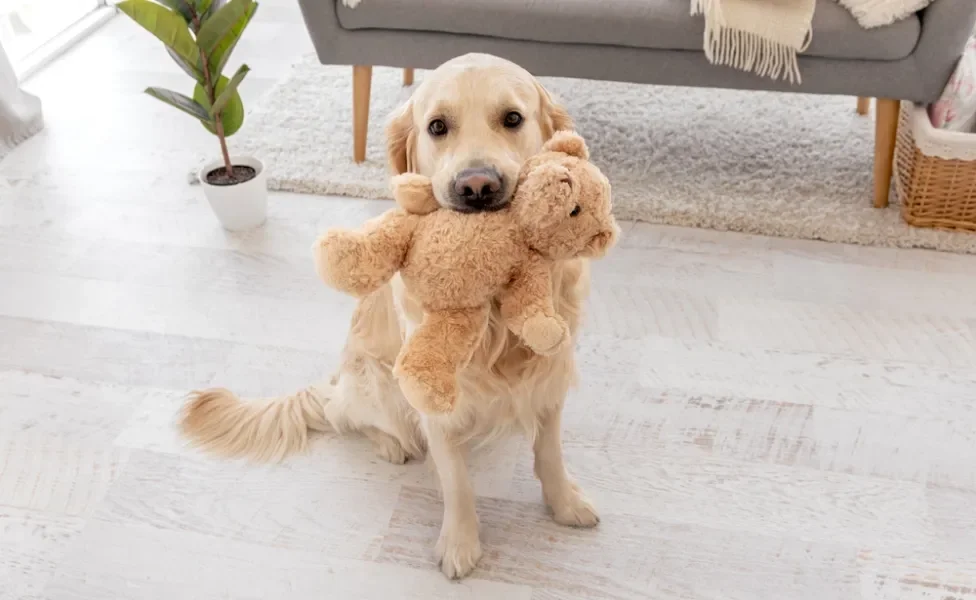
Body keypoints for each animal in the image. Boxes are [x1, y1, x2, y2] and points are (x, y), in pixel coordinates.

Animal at [179, 54, 600, 580]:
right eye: (437, 126)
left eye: (512, 119)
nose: (477, 186)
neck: (497, 314)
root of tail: (334, 380)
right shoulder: (434, 397)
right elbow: (456, 481)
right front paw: (460, 544)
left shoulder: (550, 373)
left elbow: (550, 452)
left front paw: (565, 504)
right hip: (378, 382)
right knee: (343, 416)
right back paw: (389, 444)